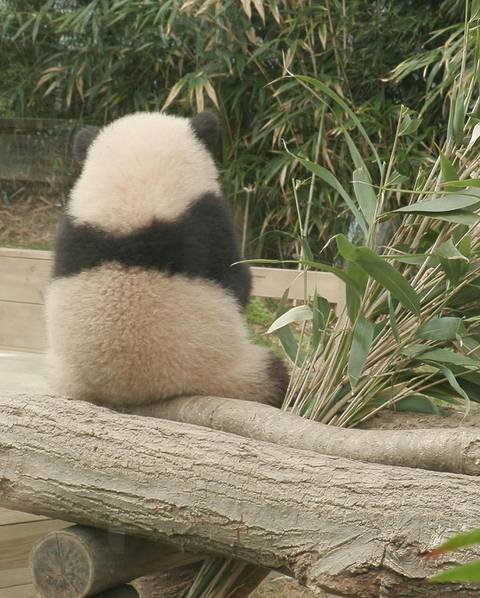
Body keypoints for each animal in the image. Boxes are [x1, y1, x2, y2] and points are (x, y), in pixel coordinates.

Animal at [47, 111, 288, 412]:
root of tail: (129, 393)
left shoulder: (70, 231)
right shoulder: (205, 223)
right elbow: (237, 280)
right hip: (221, 368)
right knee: (272, 375)